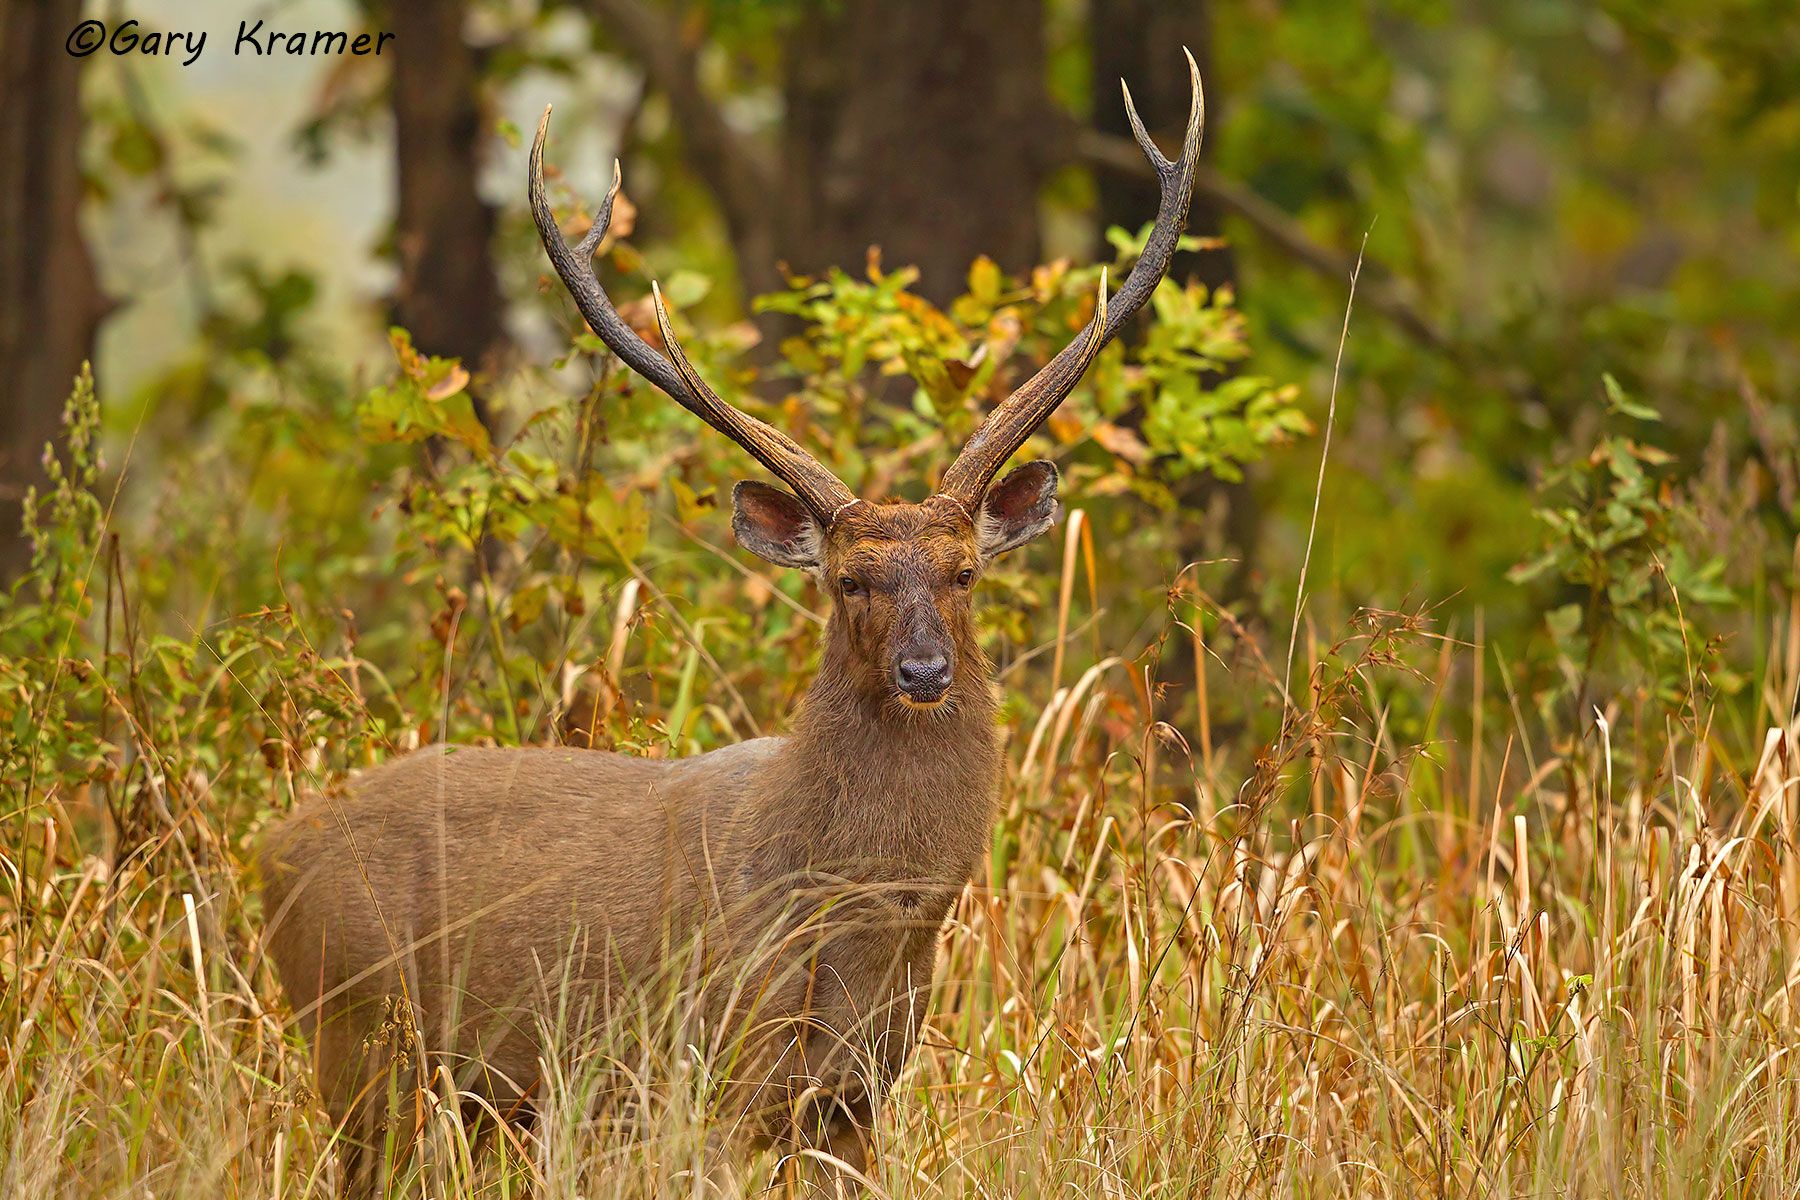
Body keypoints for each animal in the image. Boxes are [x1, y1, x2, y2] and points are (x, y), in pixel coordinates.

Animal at [259, 51, 1202, 1196]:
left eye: (967, 571)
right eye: (849, 580)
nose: (924, 671)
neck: (858, 923)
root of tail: (265, 854)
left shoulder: (857, 1094)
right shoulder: (699, 1068)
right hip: (360, 1039)